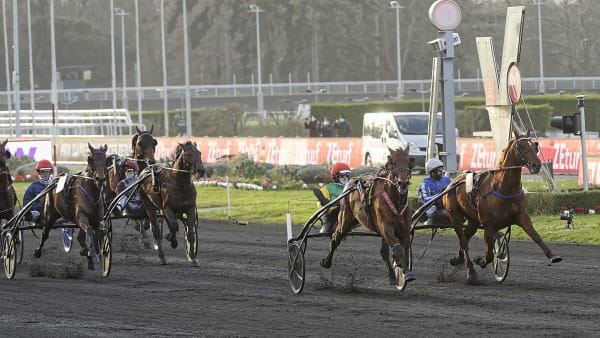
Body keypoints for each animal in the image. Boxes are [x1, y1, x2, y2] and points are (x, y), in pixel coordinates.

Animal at [322, 144, 414, 290]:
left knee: (383, 251)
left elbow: (403, 250)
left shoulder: (404, 229)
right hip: (345, 218)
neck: (396, 202)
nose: (403, 183)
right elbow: (398, 249)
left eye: (410, 162)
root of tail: (352, 181)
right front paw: (405, 272)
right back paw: (326, 262)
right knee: (336, 237)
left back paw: (392, 276)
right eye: (392, 164)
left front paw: (403, 271)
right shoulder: (386, 226)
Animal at [440, 129, 564, 286]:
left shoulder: (522, 217)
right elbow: (489, 254)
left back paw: (458, 259)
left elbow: (536, 236)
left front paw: (553, 256)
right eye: (521, 146)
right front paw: (481, 261)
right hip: (454, 215)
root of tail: (452, 182)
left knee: (465, 237)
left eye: (535, 145)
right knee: (463, 241)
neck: (503, 188)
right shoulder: (489, 225)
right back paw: (471, 272)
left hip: (473, 220)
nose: (536, 165)